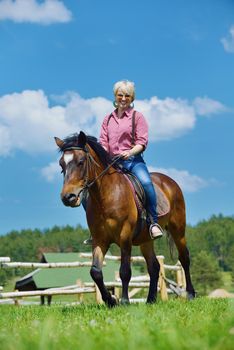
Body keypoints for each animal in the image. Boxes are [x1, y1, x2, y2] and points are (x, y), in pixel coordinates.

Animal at [54, 131, 196, 306]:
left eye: (81, 162)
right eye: (62, 165)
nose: (68, 197)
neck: (106, 196)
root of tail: (169, 181)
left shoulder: (125, 237)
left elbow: (124, 271)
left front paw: (124, 301)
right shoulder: (99, 240)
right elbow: (95, 271)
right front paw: (110, 300)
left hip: (178, 230)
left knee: (184, 258)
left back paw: (190, 294)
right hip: (146, 240)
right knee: (154, 266)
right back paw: (150, 300)